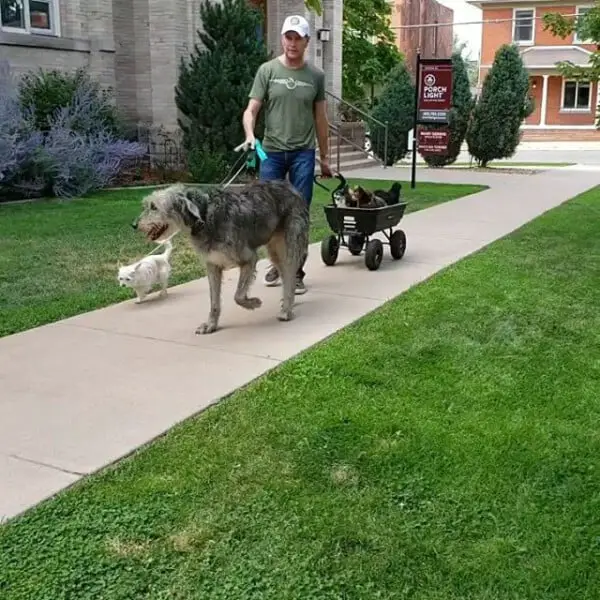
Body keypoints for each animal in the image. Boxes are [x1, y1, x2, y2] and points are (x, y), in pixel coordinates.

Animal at [132, 180, 310, 336]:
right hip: (275, 251)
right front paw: (211, 325)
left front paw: (253, 303)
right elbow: (214, 301)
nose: (134, 225)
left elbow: (238, 296)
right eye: (147, 205)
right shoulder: (212, 266)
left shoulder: (249, 259)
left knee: (290, 275)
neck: (204, 216)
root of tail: (291, 187)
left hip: (289, 246)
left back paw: (286, 310)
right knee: (286, 276)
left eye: (154, 207)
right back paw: (287, 304)